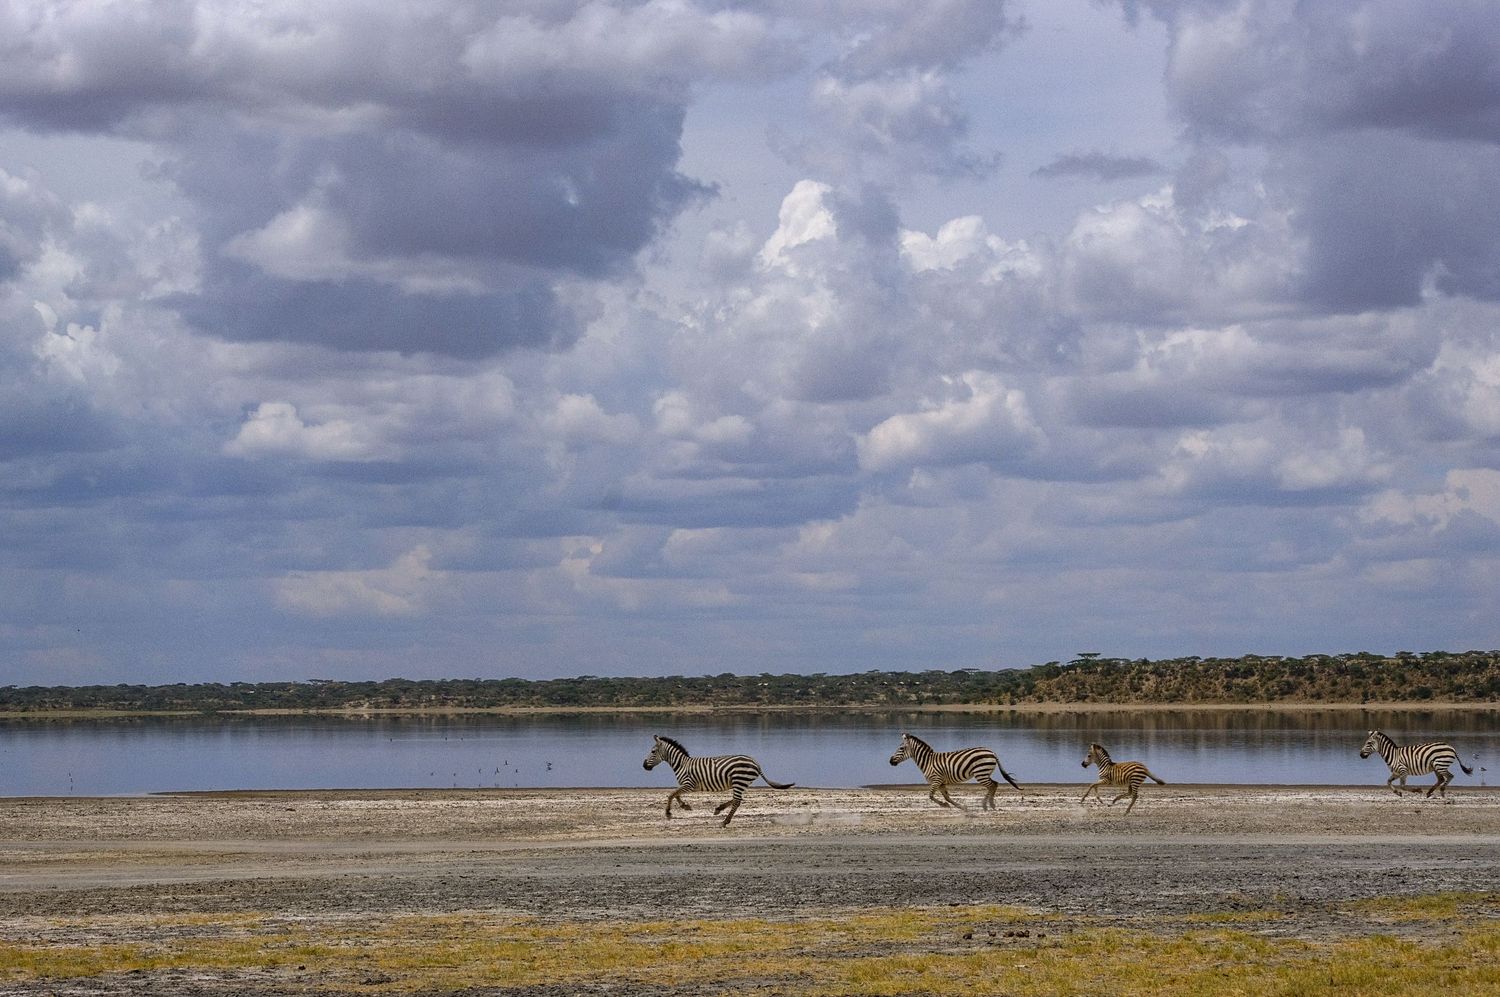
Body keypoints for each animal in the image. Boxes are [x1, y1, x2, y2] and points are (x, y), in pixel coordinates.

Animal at [642, 735, 794, 826]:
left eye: (653, 751)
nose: (644, 766)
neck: (682, 764)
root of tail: (756, 763)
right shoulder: (688, 786)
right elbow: (677, 795)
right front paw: (685, 806)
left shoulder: (689, 784)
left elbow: (671, 794)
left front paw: (668, 813)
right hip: (741, 783)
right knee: (738, 800)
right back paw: (719, 809)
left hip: (739, 781)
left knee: (737, 801)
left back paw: (725, 821)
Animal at [888, 732, 1023, 810]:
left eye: (901, 748)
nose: (890, 761)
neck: (928, 761)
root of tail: (992, 752)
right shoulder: (941, 783)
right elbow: (947, 797)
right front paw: (960, 807)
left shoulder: (936, 780)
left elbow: (931, 796)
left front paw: (944, 805)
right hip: (984, 772)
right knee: (994, 784)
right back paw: (988, 805)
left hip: (981, 773)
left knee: (993, 785)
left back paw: (988, 805)